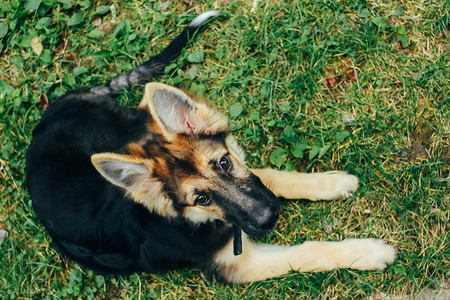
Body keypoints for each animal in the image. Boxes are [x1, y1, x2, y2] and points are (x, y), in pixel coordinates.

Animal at [26, 10, 396, 282]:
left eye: (223, 164)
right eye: (201, 199)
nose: (268, 218)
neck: (197, 221)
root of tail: (47, 117)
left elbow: (272, 175)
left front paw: (331, 183)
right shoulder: (241, 265)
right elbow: (308, 252)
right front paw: (368, 252)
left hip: (134, 131)